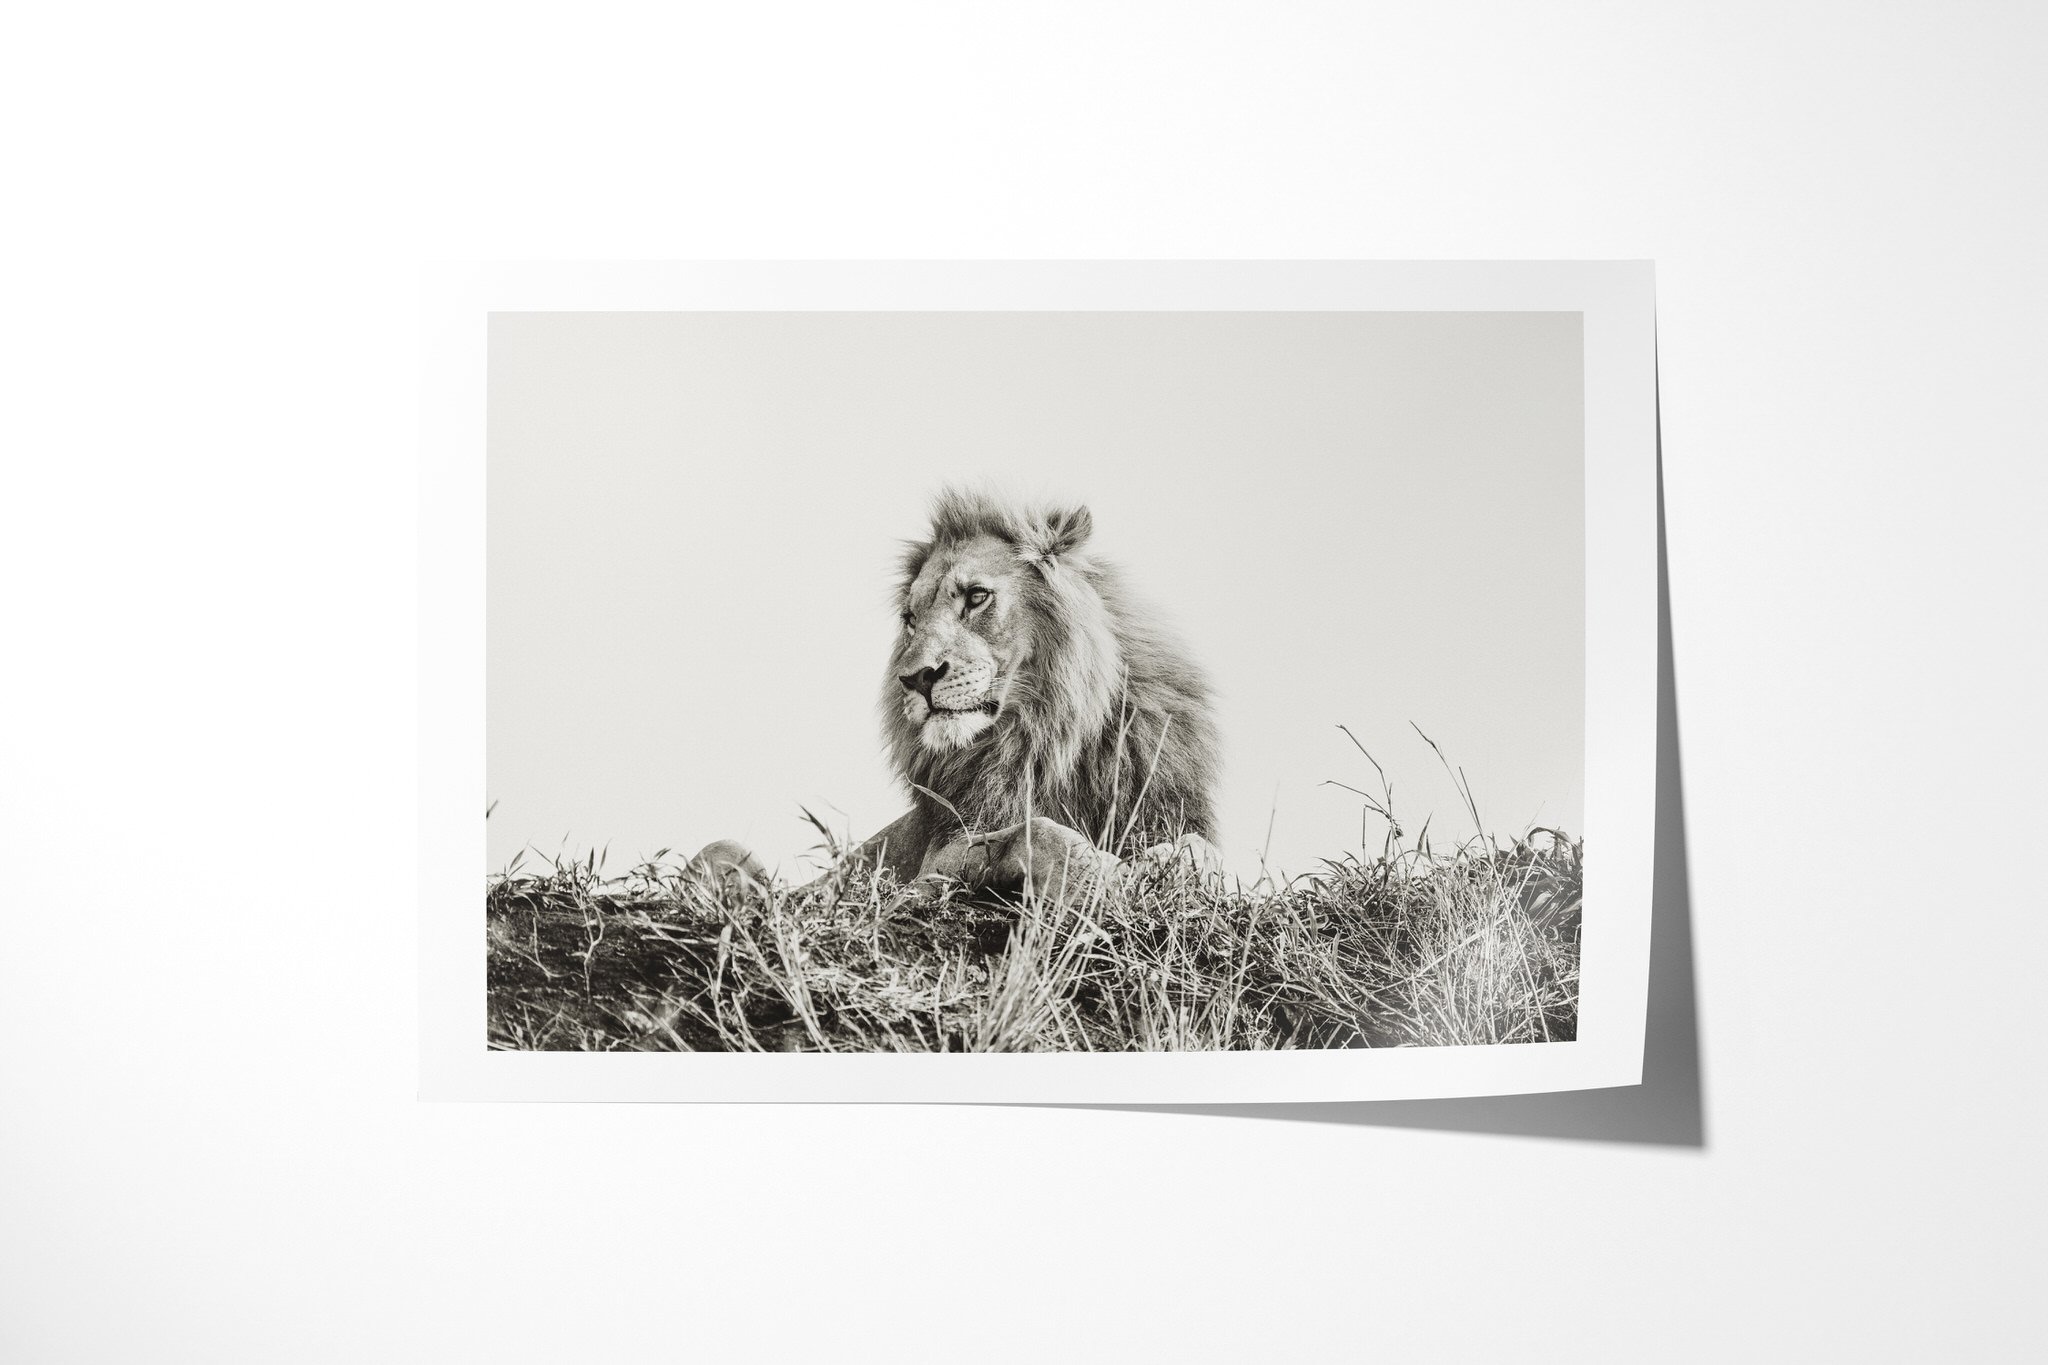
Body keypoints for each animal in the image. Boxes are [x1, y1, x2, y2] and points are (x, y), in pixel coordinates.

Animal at [689, 487, 1221, 902]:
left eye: (976, 597)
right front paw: (1101, 875)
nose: (916, 678)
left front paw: (1160, 866)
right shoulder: (940, 856)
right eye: (911, 619)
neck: (1044, 736)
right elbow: (1037, 831)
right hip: (729, 852)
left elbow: (1203, 851)